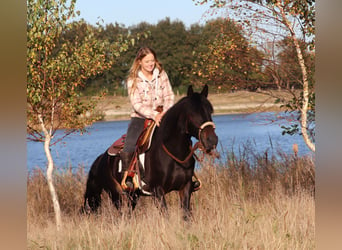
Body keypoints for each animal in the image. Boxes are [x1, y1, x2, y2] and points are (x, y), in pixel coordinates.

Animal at [81, 85, 218, 219]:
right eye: (192, 113)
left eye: (210, 111)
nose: (212, 140)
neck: (173, 152)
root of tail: (102, 158)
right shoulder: (158, 191)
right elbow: (166, 216)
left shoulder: (186, 188)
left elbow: (186, 215)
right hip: (117, 195)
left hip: (133, 196)